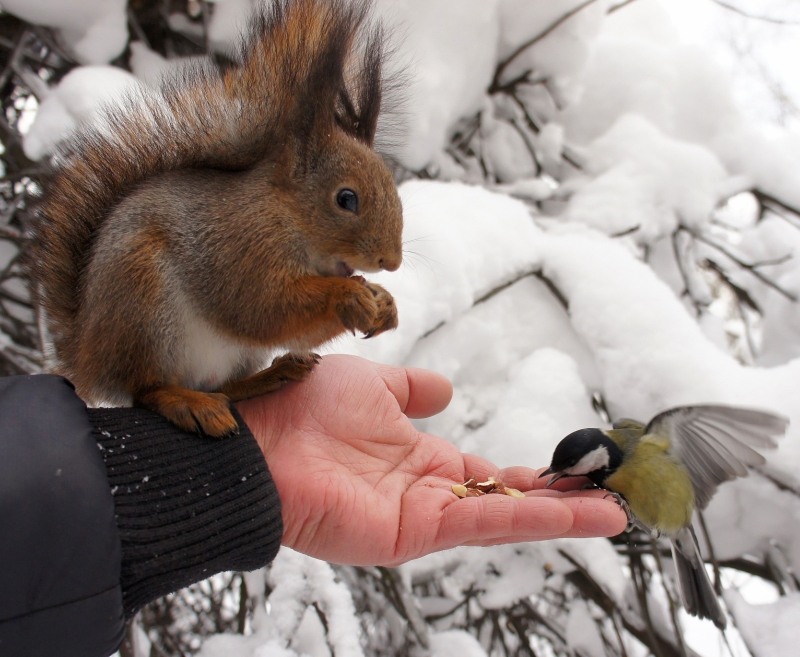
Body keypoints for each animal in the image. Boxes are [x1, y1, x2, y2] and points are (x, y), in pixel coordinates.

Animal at [28, 1, 404, 440]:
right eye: (346, 199)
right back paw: (188, 403)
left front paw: (386, 303)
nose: (391, 261)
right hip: (142, 309)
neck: (286, 216)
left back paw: (269, 375)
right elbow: (261, 308)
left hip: (231, 352)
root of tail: (87, 359)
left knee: (222, 386)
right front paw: (348, 296)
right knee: (145, 388)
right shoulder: (238, 247)